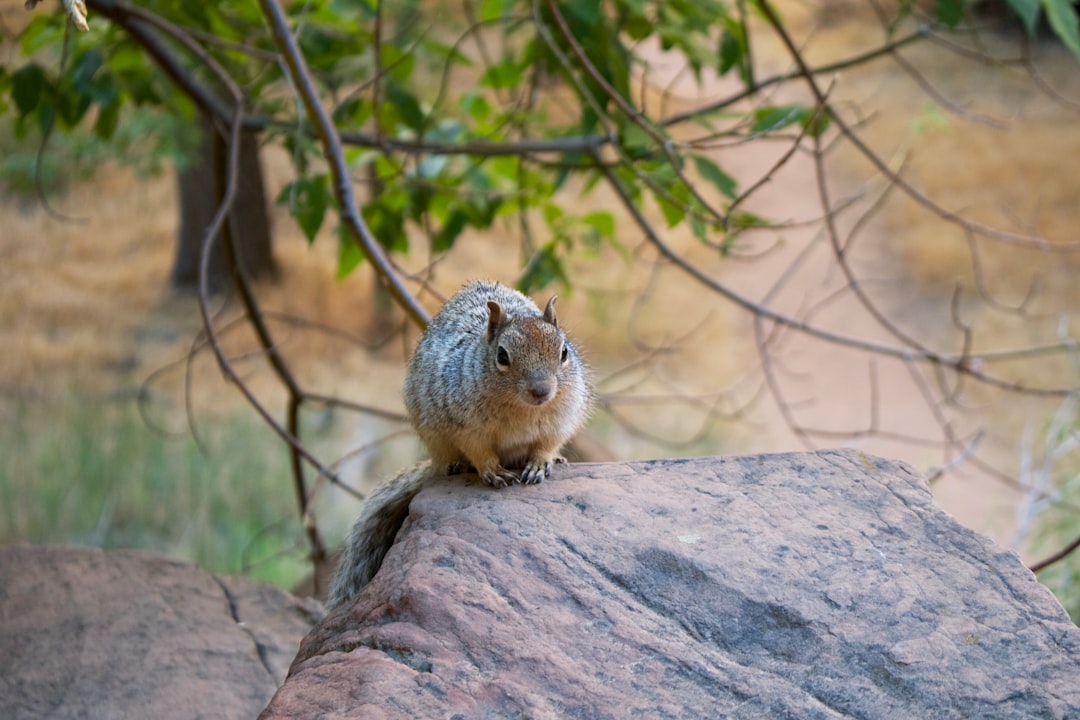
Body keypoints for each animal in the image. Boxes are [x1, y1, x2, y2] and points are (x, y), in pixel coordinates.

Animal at [324, 280, 596, 608]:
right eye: (502, 356)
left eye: (564, 351)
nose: (541, 390)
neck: (522, 410)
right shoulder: (466, 426)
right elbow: (479, 451)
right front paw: (492, 471)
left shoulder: (561, 420)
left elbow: (547, 444)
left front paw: (541, 462)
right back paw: (454, 465)